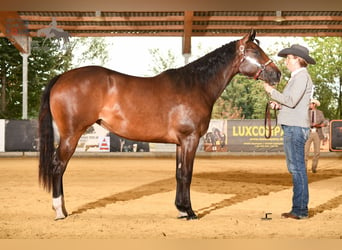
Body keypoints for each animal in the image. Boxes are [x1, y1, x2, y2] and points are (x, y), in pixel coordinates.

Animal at [39, 30, 280, 221]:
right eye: (255, 52)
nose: (277, 74)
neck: (196, 85)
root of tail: (62, 77)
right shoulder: (191, 139)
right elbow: (187, 174)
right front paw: (190, 212)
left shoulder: (181, 142)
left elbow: (179, 174)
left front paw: (181, 209)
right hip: (71, 135)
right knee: (58, 166)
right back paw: (60, 211)